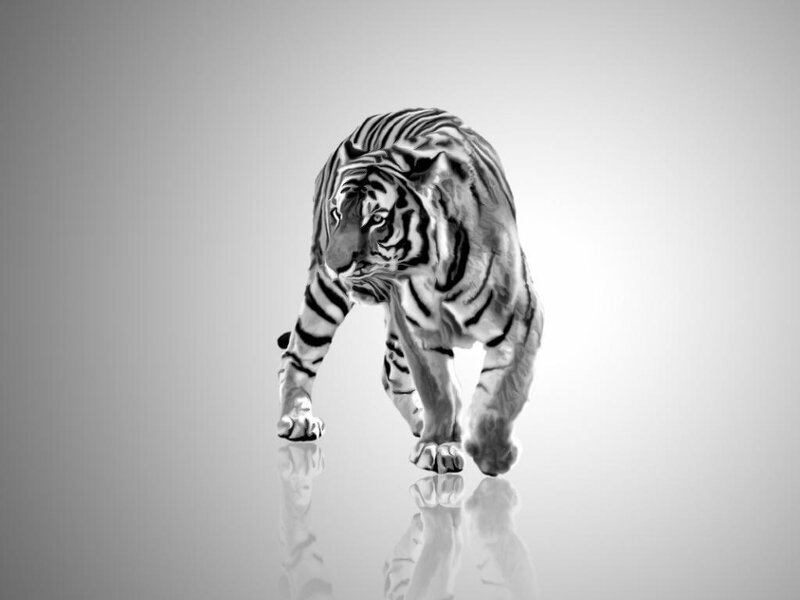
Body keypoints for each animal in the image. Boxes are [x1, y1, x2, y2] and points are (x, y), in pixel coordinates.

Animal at [277, 108, 543, 475]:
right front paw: (439, 446)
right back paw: (297, 418)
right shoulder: (421, 331)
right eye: (337, 213)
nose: (335, 265)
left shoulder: (521, 322)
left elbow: (503, 390)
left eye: (376, 220)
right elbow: (439, 390)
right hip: (326, 295)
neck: (441, 273)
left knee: (390, 373)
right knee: (298, 352)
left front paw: (490, 453)